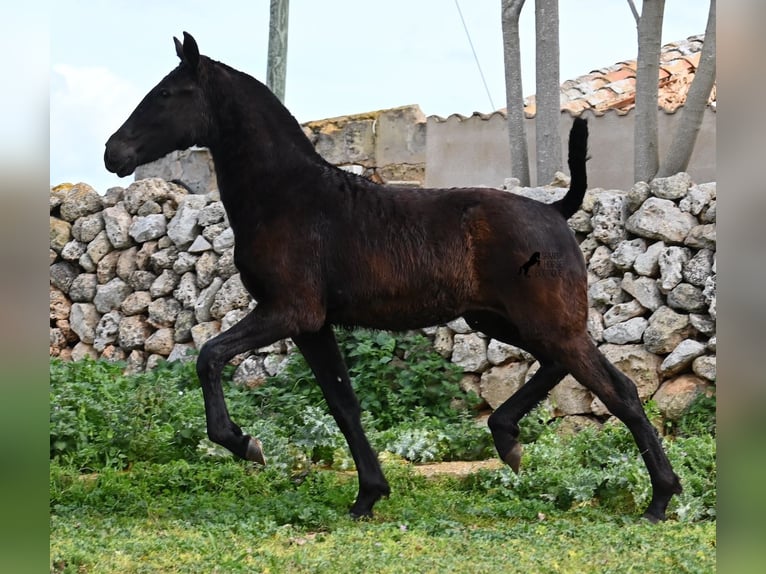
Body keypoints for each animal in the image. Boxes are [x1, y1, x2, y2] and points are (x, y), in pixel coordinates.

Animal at [103, 33, 684, 524]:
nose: (114, 152)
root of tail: (558, 210)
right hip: (501, 322)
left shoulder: (288, 312)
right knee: (562, 367)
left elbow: (209, 356)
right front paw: (369, 495)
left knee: (619, 390)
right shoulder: (312, 325)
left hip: (544, 322)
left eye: (169, 93)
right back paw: (508, 438)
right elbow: (343, 404)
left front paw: (244, 442)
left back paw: (660, 498)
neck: (289, 197)